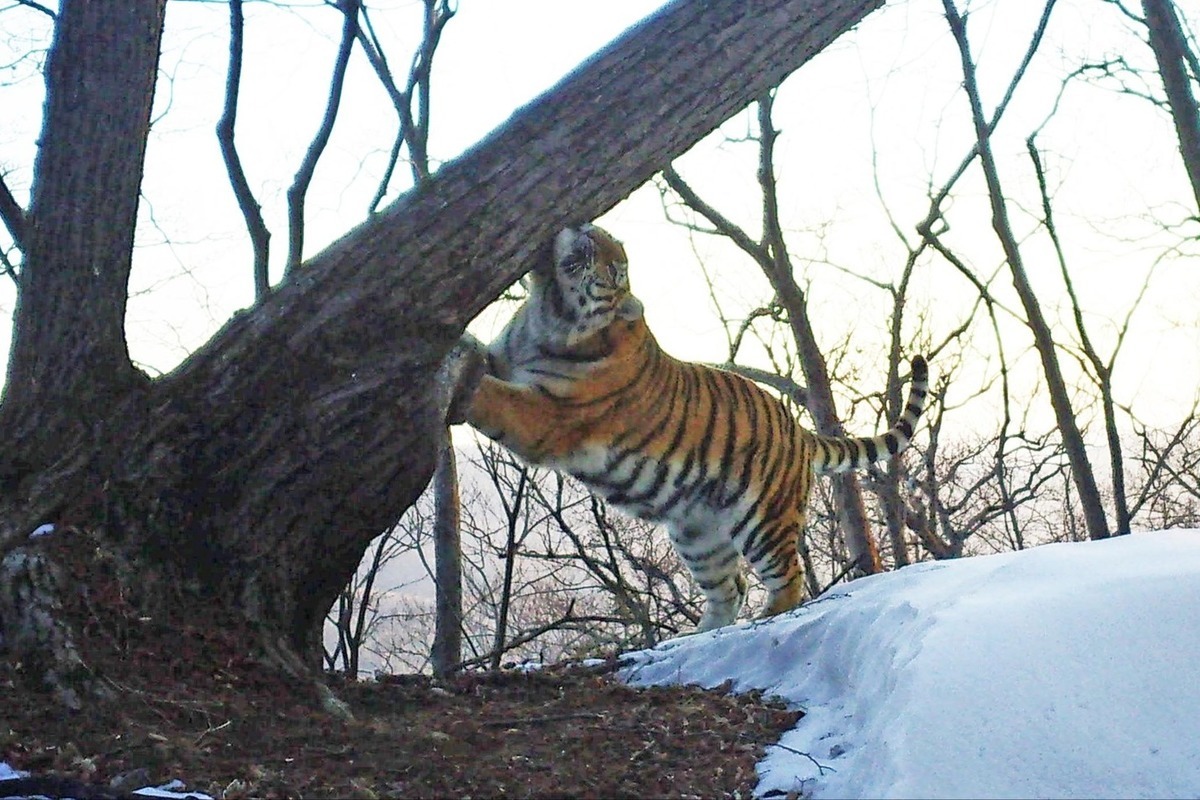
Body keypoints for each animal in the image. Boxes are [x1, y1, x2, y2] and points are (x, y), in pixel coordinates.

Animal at [453, 221, 931, 633]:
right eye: (603, 240)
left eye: (615, 268)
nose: (583, 226)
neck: (546, 314)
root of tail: (800, 431)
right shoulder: (507, 359)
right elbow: (485, 360)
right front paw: (461, 349)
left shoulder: (547, 414)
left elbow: (494, 396)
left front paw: (455, 378)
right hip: (697, 532)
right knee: (730, 586)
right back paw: (694, 635)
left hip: (765, 519)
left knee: (787, 575)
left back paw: (765, 618)